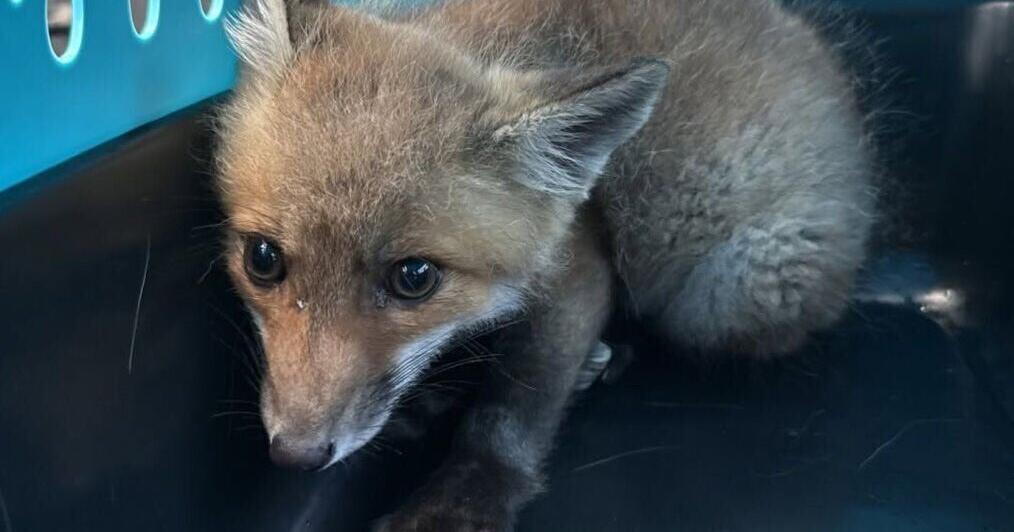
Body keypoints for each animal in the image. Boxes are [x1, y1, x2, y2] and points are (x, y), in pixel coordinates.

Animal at [213, 0, 875, 529]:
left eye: (414, 278)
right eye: (262, 259)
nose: (295, 454)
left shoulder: (579, 265)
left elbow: (514, 408)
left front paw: (462, 501)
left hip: (729, 288)